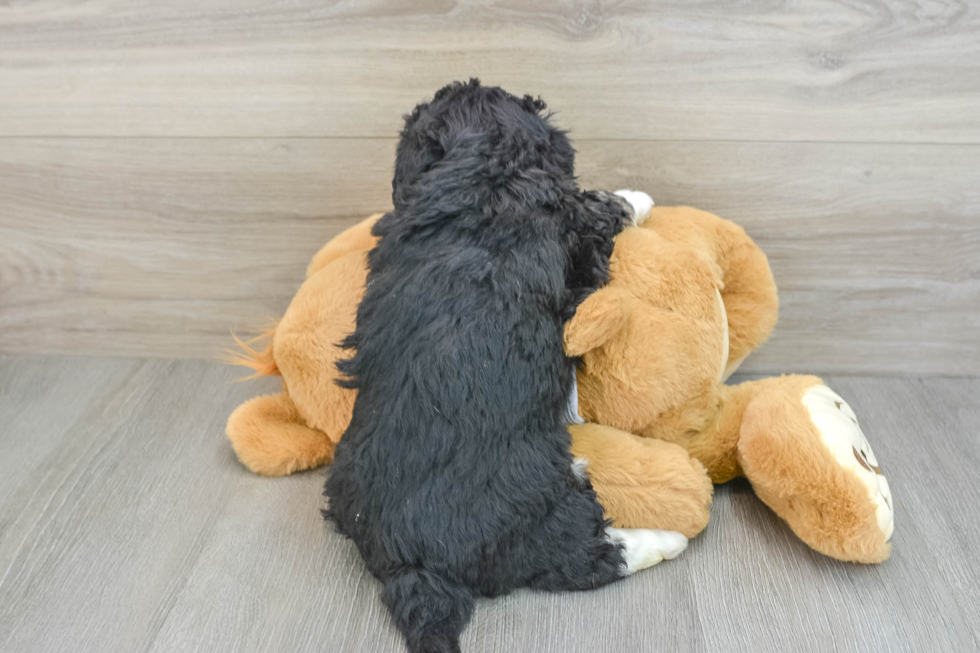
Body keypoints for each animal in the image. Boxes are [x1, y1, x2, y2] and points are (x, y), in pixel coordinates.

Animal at [326, 81, 684, 652]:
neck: (474, 171)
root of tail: (412, 564)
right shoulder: (574, 225)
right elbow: (604, 206)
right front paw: (639, 196)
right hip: (539, 510)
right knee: (585, 559)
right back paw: (664, 537)